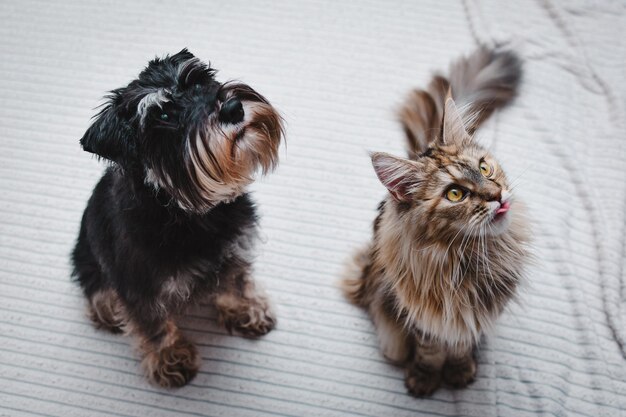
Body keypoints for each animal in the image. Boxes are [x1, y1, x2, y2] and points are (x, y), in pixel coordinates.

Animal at [71, 48, 282, 386]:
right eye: (164, 116)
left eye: (198, 82)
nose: (233, 108)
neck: (187, 213)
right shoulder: (139, 286)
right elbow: (153, 325)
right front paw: (171, 359)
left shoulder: (234, 251)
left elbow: (236, 285)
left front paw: (248, 311)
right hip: (87, 260)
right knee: (95, 289)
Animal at [342, 47, 528, 394]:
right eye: (455, 194)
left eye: (484, 169)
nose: (496, 195)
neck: (463, 261)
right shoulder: (422, 315)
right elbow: (429, 350)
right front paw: (425, 378)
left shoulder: (474, 315)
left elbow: (460, 345)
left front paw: (458, 371)